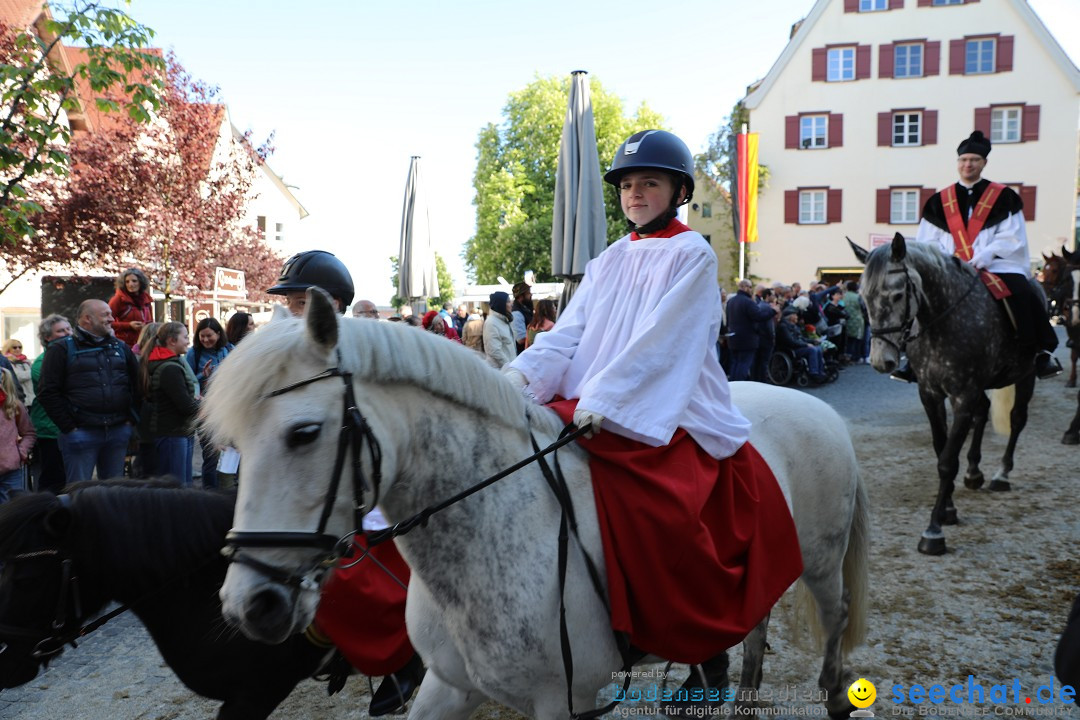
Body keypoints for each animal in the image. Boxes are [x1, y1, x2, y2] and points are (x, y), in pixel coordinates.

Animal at [203, 289, 872, 720]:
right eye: (235, 443)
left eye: (304, 433)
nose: (249, 605)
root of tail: (823, 412)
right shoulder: (447, 685)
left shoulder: (564, 701)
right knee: (753, 630)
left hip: (820, 562)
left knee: (836, 618)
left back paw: (835, 696)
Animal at [851, 234, 1036, 557]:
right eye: (863, 297)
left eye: (897, 295)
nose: (881, 361)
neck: (942, 322)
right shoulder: (931, 394)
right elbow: (941, 448)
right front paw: (948, 508)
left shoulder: (963, 395)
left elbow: (947, 461)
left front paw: (933, 531)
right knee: (983, 412)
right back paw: (974, 473)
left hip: (1027, 374)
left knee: (1016, 419)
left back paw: (1001, 474)